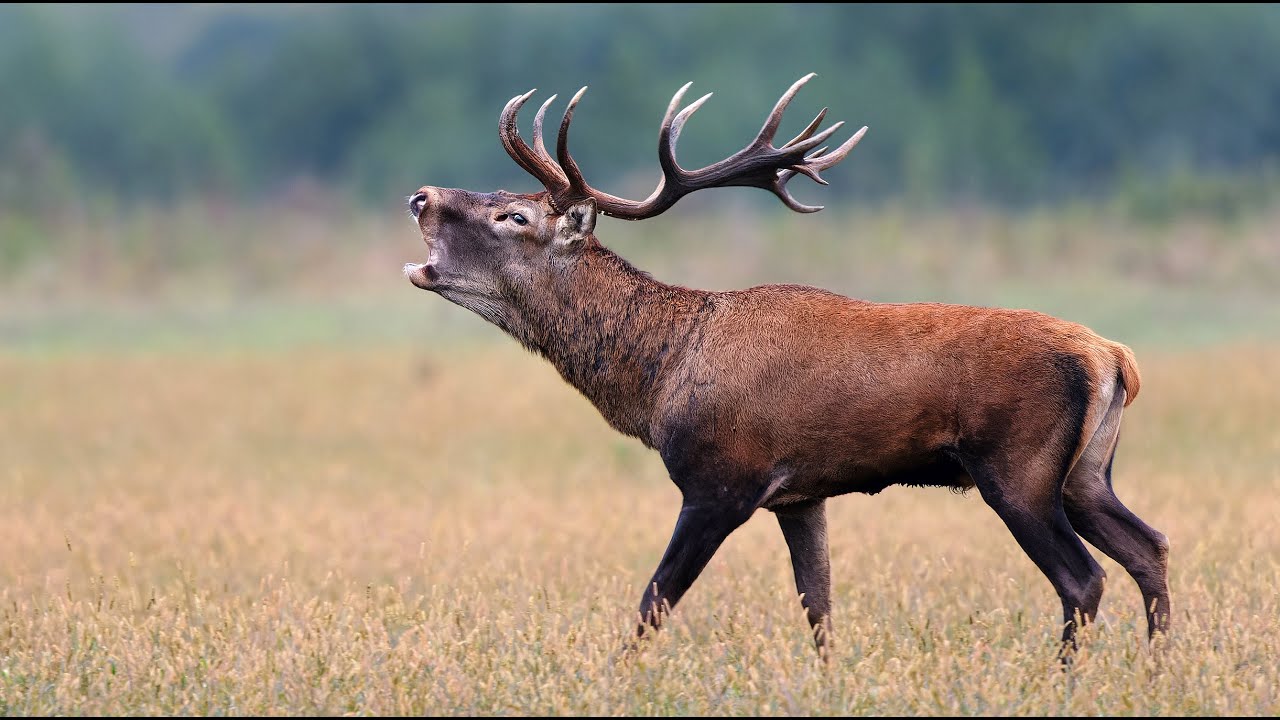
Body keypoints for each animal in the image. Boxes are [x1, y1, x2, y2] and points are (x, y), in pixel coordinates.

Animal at [402, 73, 1170, 662]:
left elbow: (654, 602)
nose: (421, 196)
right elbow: (818, 606)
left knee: (1084, 578)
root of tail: (1113, 357)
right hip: (1085, 473)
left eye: (514, 217)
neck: (658, 375)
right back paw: (1155, 669)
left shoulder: (723, 479)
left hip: (1018, 468)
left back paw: (1065, 677)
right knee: (1149, 547)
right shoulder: (802, 495)